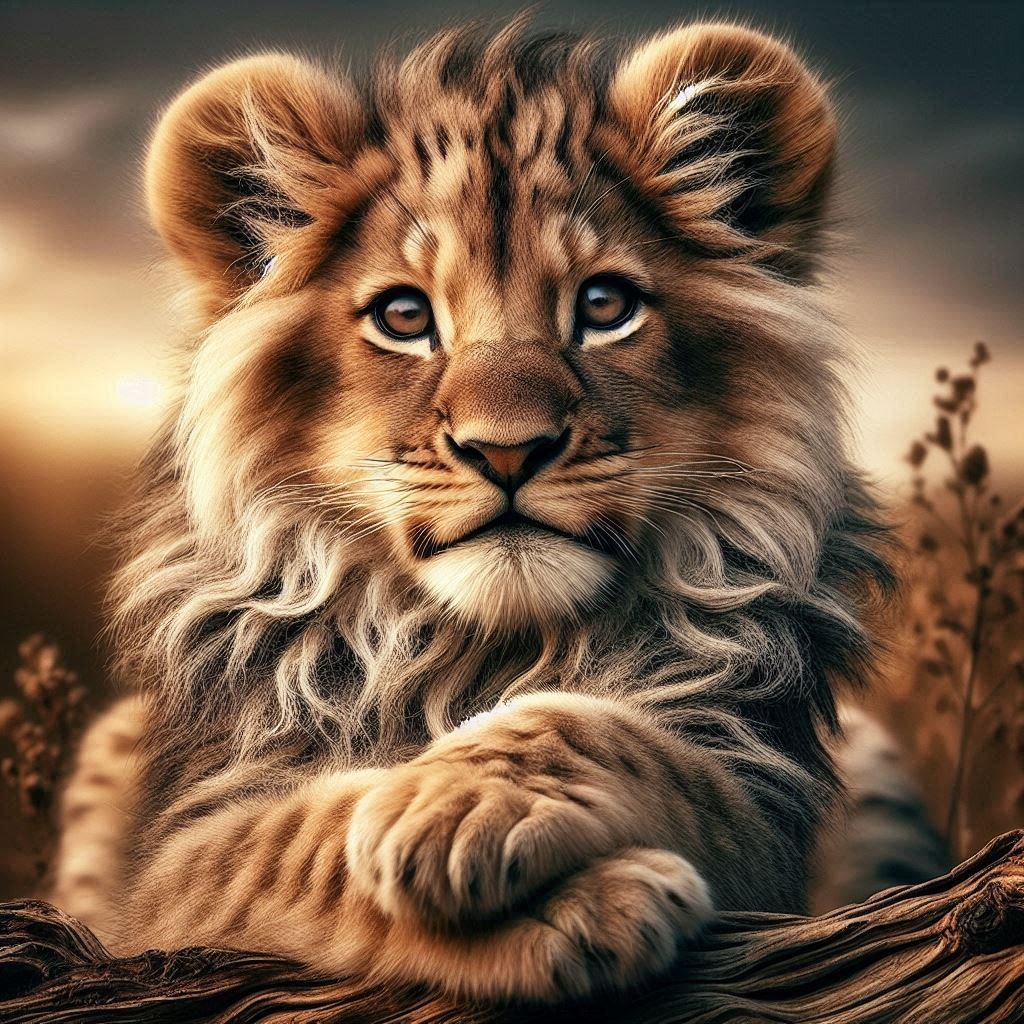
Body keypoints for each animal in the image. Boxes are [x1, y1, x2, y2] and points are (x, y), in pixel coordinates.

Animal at [51, 19, 946, 1004]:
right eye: (404, 316)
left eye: (605, 306)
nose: (508, 450)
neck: (485, 650)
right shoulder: (165, 886)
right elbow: (290, 843)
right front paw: (557, 893)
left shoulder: (768, 821)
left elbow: (629, 739)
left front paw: (456, 803)